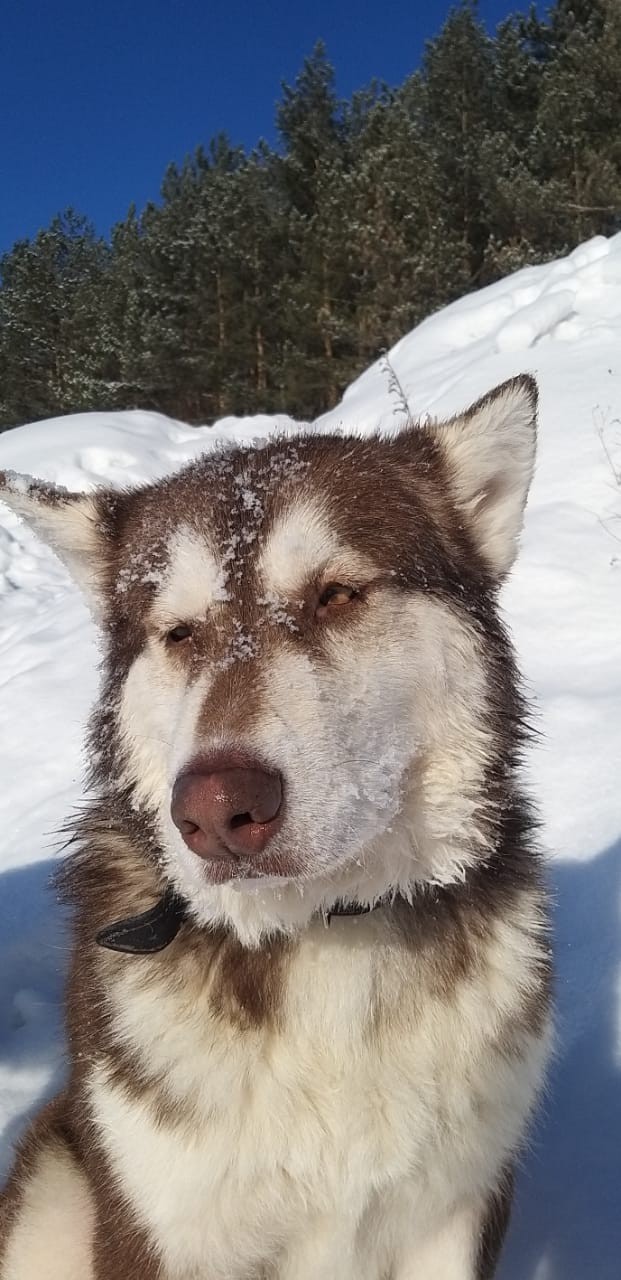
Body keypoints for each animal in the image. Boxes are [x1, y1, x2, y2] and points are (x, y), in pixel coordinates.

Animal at [0, 378, 553, 1280]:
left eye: (337, 594)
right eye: (178, 633)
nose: (217, 810)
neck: (320, 931)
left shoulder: (455, 1211)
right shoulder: (162, 1225)